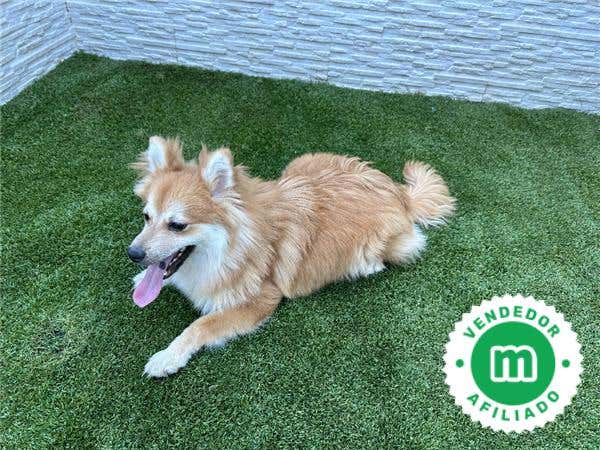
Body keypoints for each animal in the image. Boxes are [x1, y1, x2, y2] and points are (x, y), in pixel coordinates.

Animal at [128, 136, 455, 377]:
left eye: (177, 225)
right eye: (146, 217)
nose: (132, 253)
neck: (231, 246)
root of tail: (400, 193)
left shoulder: (262, 299)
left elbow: (201, 325)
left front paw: (168, 356)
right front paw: (144, 277)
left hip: (388, 248)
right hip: (302, 163)